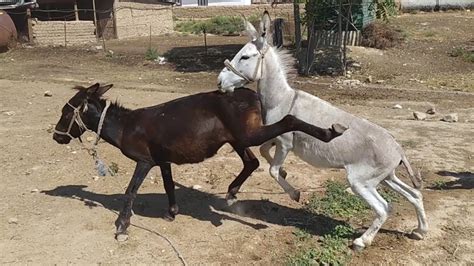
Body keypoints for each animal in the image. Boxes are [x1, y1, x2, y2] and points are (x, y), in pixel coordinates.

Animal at [53, 83, 346, 239]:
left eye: (66, 112)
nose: (56, 137)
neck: (125, 126)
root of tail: (251, 93)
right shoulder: (163, 160)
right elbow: (169, 185)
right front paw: (172, 212)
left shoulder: (145, 161)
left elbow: (130, 191)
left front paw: (122, 226)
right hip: (237, 138)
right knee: (251, 163)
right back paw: (231, 193)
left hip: (246, 134)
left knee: (288, 121)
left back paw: (330, 133)